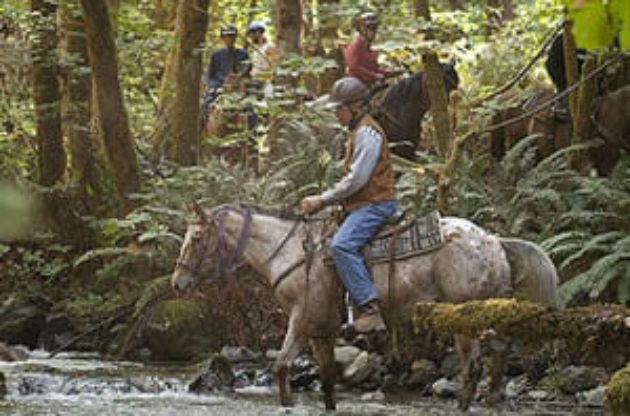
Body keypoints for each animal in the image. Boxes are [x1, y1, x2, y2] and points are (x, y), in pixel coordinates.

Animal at [172, 203, 556, 412]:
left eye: (197, 238)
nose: (177, 282)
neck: (294, 252)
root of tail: (494, 241)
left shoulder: (301, 321)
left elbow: (281, 367)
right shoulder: (322, 331)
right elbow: (327, 378)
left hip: (462, 318)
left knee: (472, 366)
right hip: (491, 312)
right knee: (499, 354)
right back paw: (492, 399)